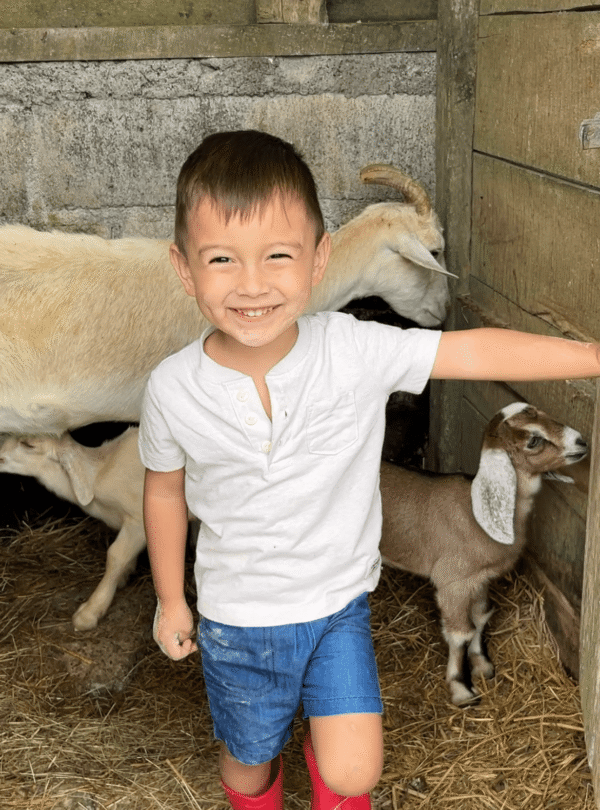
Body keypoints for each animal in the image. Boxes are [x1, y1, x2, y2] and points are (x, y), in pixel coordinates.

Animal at [0, 428, 146, 631]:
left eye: (29, 444)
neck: (100, 472)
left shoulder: (137, 521)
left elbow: (115, 556)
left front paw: (90, 611)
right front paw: (125, 575)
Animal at [378, 402, 587, 705]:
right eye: (533, 440)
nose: (581, 442)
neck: (475, 514)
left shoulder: (480, 579)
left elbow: (480, 617)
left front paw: (482, 664)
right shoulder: (453, 583)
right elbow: (460, 633)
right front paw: (461, 689)